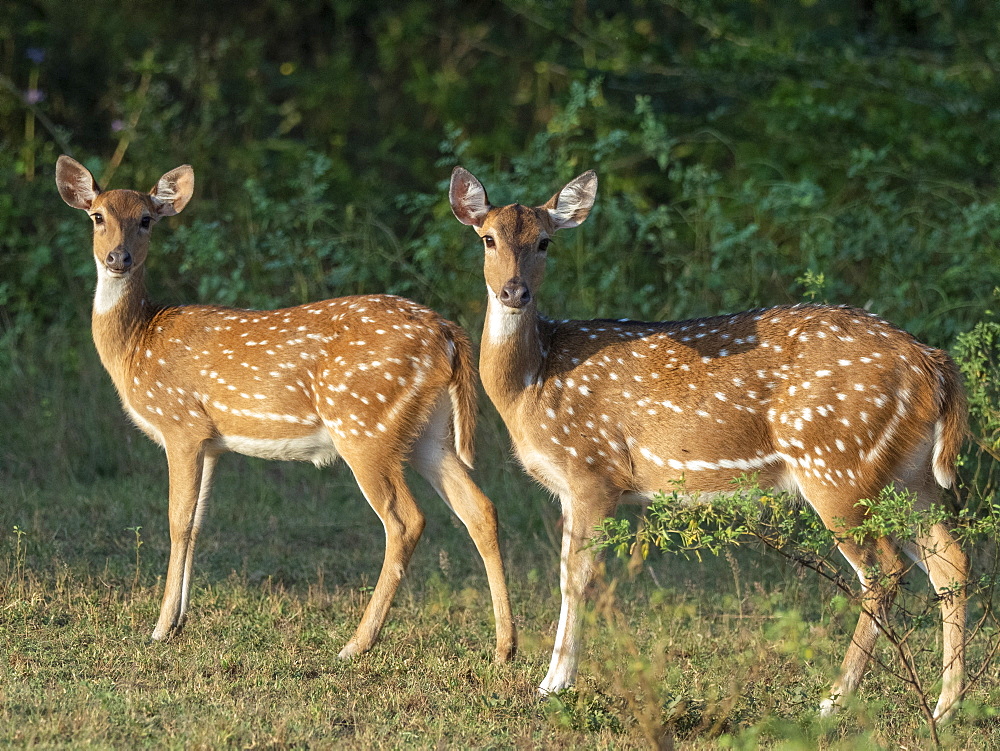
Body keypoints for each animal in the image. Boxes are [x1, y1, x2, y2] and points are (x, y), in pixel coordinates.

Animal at [56, 156, 516, 668]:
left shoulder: (181, 423)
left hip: (363, 425)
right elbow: (197, 522)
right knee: (481, 509)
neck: (137, 344)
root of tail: (449, 334)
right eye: (97, 216)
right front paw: (177, 623)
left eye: (146, 219)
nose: (118, 258)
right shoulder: (211, 442)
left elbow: (176, 520)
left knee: (405, 520)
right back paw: (504, 647)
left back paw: (356, 643)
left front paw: (158, 629)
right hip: (428, 433)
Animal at [452, 166, 968, 724]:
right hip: (908, 475)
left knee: (885, 570)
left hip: (835, 464)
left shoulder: (592, 470)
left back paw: (834, 700)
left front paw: (553, 684)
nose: (514, 291)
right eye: (488, 238)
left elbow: (576, 578)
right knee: (950, 561)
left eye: (545, 241)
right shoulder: (574, 487)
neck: (532, 381)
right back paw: (946, 705)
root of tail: (933, 364)